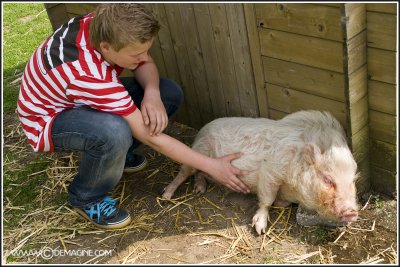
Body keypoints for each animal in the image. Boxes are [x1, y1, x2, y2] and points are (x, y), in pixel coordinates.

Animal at [162, 110, 360, 234]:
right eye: (328, 179)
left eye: (352, 180)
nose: (352, 211)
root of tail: (203, 128)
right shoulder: (270, 171)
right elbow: (267, 199)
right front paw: (260, 229)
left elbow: (282, 203)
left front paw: (280, 204)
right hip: (199, 150)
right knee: (183, 172)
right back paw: (166, 195)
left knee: (200, 174)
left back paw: (200, 189)